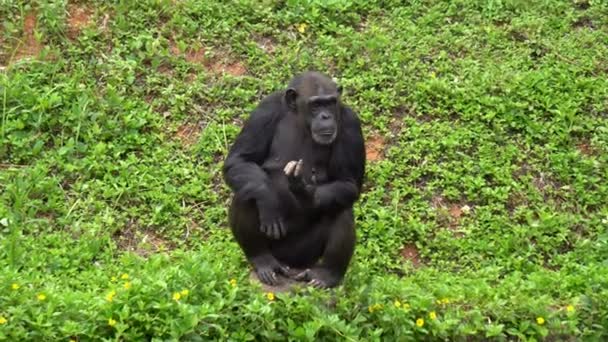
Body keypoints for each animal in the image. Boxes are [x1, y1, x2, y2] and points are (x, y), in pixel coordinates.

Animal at [223, 71, 366, 288]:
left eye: (330, 103)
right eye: (316, 105)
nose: (326, 116)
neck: (301, 119)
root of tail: (290, 266)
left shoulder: (351, 122)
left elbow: (348, 182)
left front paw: (305, 192)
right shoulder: (264, 110)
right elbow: (239, 160)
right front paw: (268, 199)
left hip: (306, 255)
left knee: (341, 207)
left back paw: (326, 275)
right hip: (277, 251)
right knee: (246, 194)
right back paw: (263, 261)